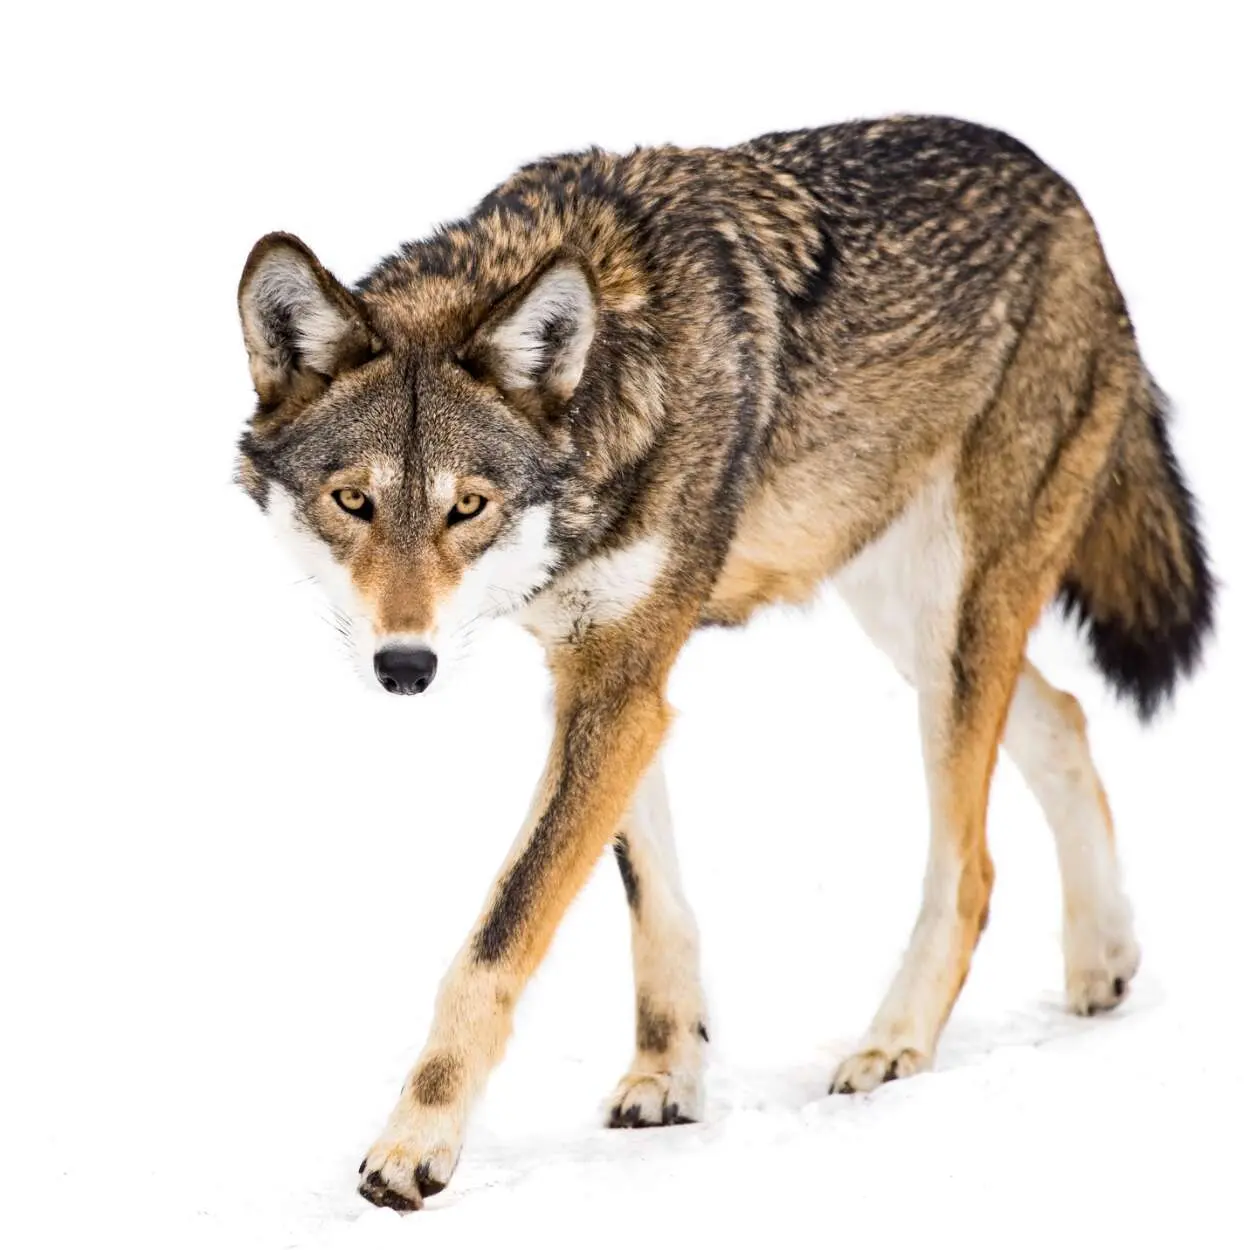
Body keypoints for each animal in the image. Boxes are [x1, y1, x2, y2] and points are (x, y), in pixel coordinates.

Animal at [234, 115, 1213, 1210]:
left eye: (467, 507)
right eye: (353, 501)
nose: (405, 665)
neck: (612, 378)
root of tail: (1063, 192)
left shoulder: (620, 681)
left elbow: (499, 935)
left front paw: (414, 1145)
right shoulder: (606, 679)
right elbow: (654, 902)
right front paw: (669, 1074)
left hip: (953, 624)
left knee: (971, 865)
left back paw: (894, 1044)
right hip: (914, 625)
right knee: (1064, 714)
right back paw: (1102, 960)